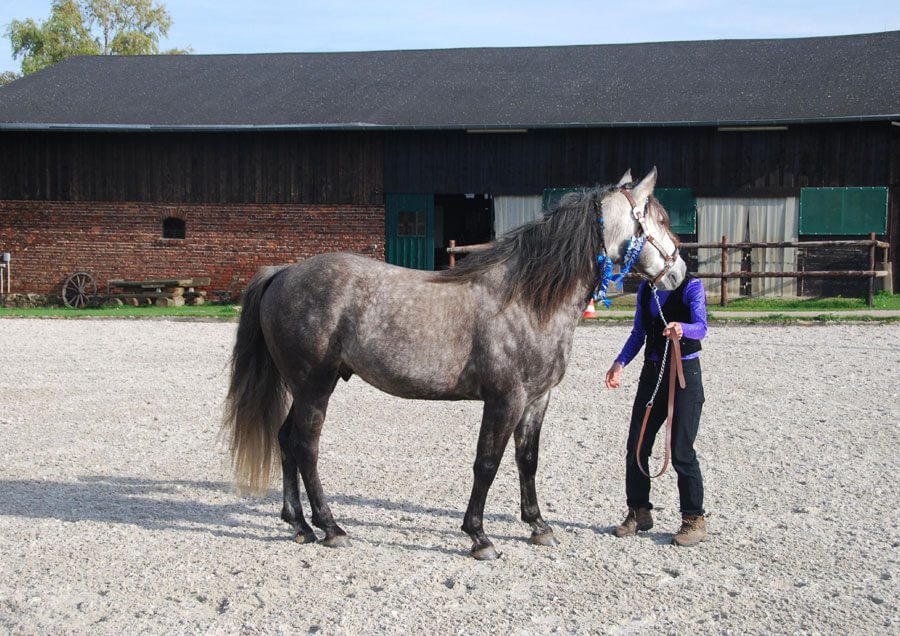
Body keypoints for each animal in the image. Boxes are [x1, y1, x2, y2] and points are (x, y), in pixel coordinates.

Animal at [223, 168, 684, 556]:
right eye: (659, 221)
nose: (679, 272)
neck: (526, 301)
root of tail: (284, 272)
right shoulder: (505, 400)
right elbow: (487, 463)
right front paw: (479, 537)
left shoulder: (536, 400)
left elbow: (527, 460)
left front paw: (538, 526)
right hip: (315, 387)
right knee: (306, 447)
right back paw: (330, 527)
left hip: (303, 389)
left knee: (286, 441)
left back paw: (300, 525)